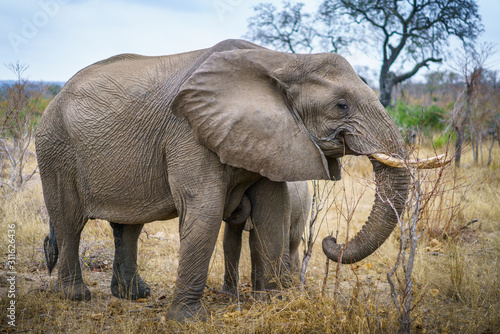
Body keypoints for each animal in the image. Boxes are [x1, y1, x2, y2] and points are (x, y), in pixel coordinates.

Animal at [35, 38, 442, 320]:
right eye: (341, 106)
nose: (331, 240)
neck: (281, 60)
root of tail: (52, 99)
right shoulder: (189, 131)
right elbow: (204, 211)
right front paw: (188, 320)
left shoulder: (273, 138)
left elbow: (273, 212)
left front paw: (273, 303)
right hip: (55, 148)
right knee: (70, 220)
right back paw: (76, 297)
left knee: (128, 226)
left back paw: (135, 295)